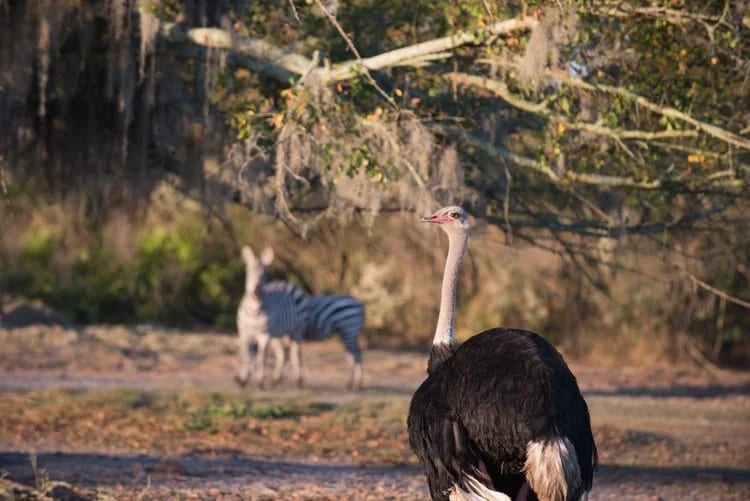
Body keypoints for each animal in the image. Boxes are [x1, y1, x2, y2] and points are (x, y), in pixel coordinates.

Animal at [235, 245, 308, 388]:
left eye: (264, 275)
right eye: (248, 273)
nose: (256, 291)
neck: (254, 311)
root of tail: (286, 282)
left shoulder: (265, 335)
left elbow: (261, 358)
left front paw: (260, 381)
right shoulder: (244, 333)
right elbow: (246, 355)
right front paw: (242, 379)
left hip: (297, 330)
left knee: (296, 352)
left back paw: (298, 380)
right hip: (278, 334)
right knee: (282, 354)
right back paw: (276, 379)